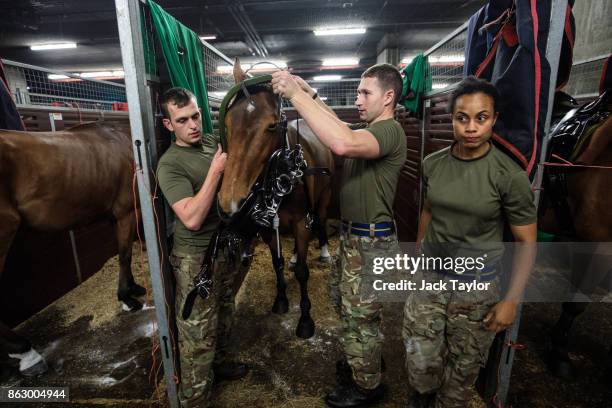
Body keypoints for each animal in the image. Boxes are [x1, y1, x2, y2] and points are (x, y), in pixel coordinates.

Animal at [0, 120, 146, 376]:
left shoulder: (116, 218)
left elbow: (124, 252)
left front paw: (133, 288)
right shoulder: (125, 212)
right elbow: (125, 255)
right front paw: (126, 299)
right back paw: (27, 354)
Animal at [218, 63, 334, 338]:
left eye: (271, 126)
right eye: (228, 122)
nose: (229, 202)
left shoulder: (302, 223)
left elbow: (303, 272)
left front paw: (305, 320)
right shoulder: (268, 227)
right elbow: (276, 262)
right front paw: (280, 299)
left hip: (323, 200)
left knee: (321, 220)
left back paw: (324, 251)